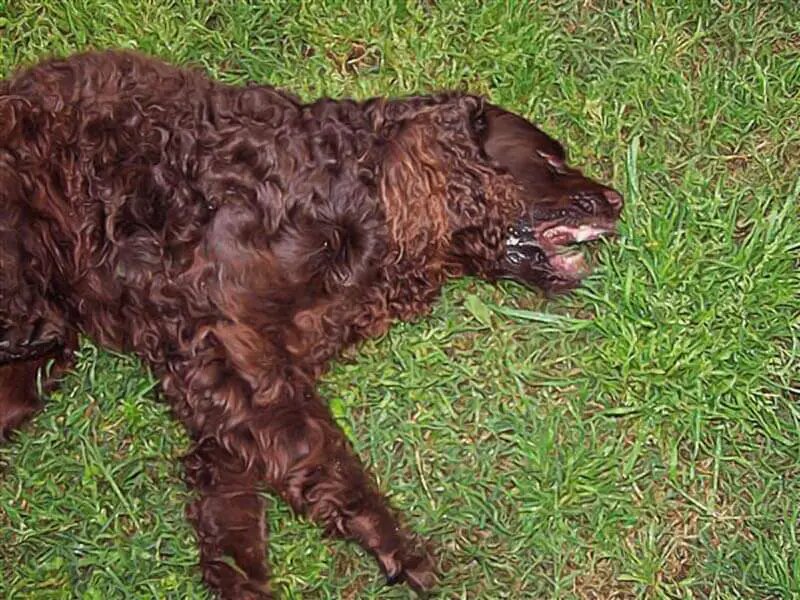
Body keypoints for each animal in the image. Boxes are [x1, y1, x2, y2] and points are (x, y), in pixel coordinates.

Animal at [0, 50, 620, 596]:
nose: (615, 200)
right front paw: (396, 545)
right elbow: (315, 450)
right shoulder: (225, 342)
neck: (355, 199)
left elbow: (232, 508)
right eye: (549, 161)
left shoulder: (224, 384)